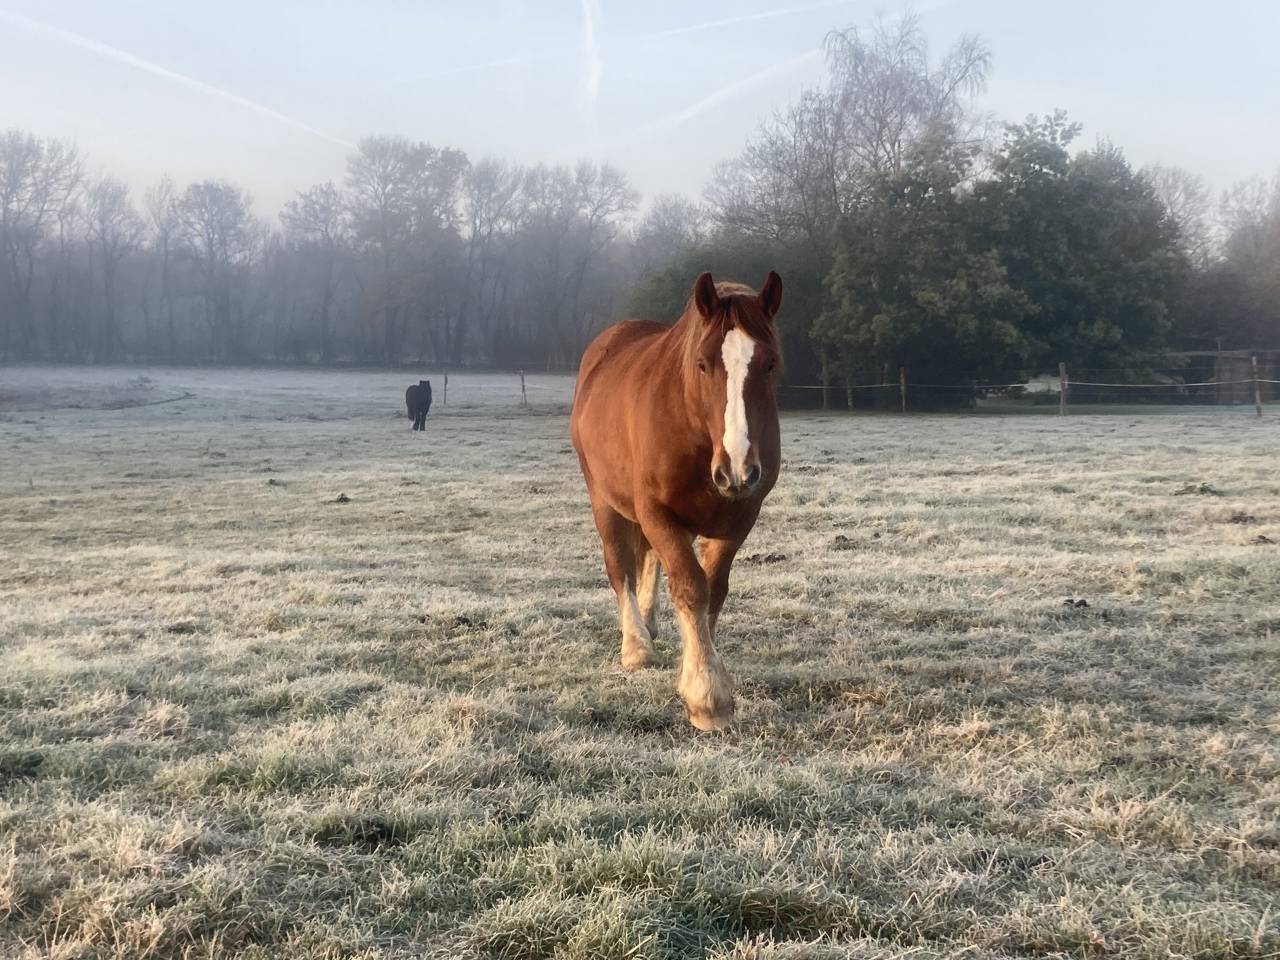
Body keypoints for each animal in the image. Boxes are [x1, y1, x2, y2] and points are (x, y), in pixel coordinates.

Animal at [570, 271, 783, 730]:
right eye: (703, 364)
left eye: (770, 363)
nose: (738, 469)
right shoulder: (656, 512)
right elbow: (690, 587)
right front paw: (707, 696)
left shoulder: (738, 518)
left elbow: (713, 590)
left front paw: (698, 668)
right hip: (604, 502)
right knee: (620, 565)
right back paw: (636, 645)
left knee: (648, 558)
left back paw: (648, 627)